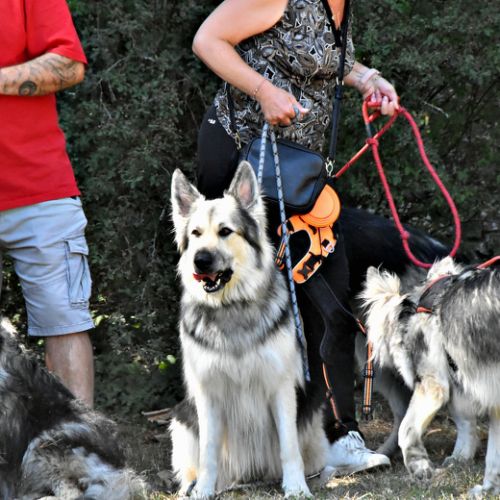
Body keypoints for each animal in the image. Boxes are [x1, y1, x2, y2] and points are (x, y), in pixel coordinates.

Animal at [169, 162, 328, 498]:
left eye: (225, 231)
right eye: (196, 234)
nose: (200, 261)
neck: (232, 306)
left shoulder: (281, 388)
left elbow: (289, 447)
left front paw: (296, 487)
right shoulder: (208, 395)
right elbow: (209, 452)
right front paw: (204, 490)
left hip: (311, 415)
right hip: (182, 421)